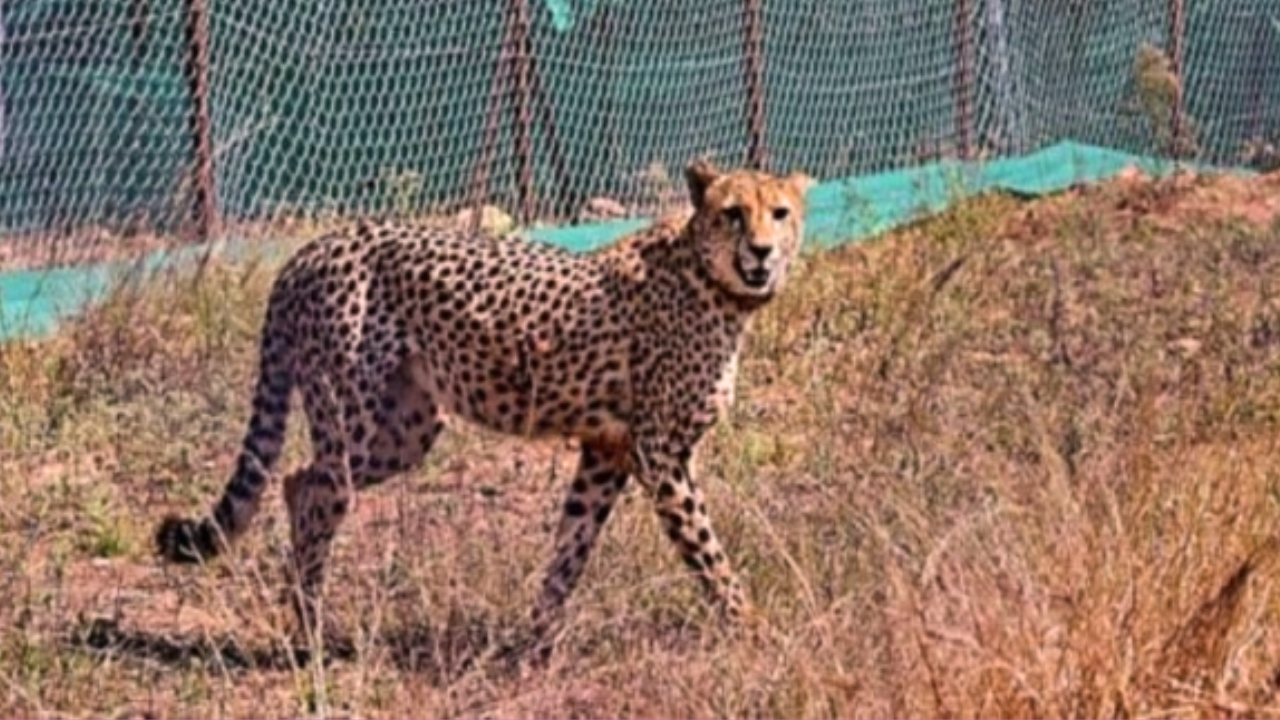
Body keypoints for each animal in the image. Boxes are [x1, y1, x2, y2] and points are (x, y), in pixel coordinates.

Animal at [154, 156, 814, 650]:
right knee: (318, 490)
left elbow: (571, 547)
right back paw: (312, 632)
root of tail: (314, 247)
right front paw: (753, 628)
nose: (762, 251)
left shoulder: (607, 451)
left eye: (780, 214)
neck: (714, 282)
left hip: (405, 430)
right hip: (354, 417)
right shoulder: (661, 454)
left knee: (297, 481)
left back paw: (304, 616)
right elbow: (707, 550)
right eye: (733, 214)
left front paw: (535, 640)